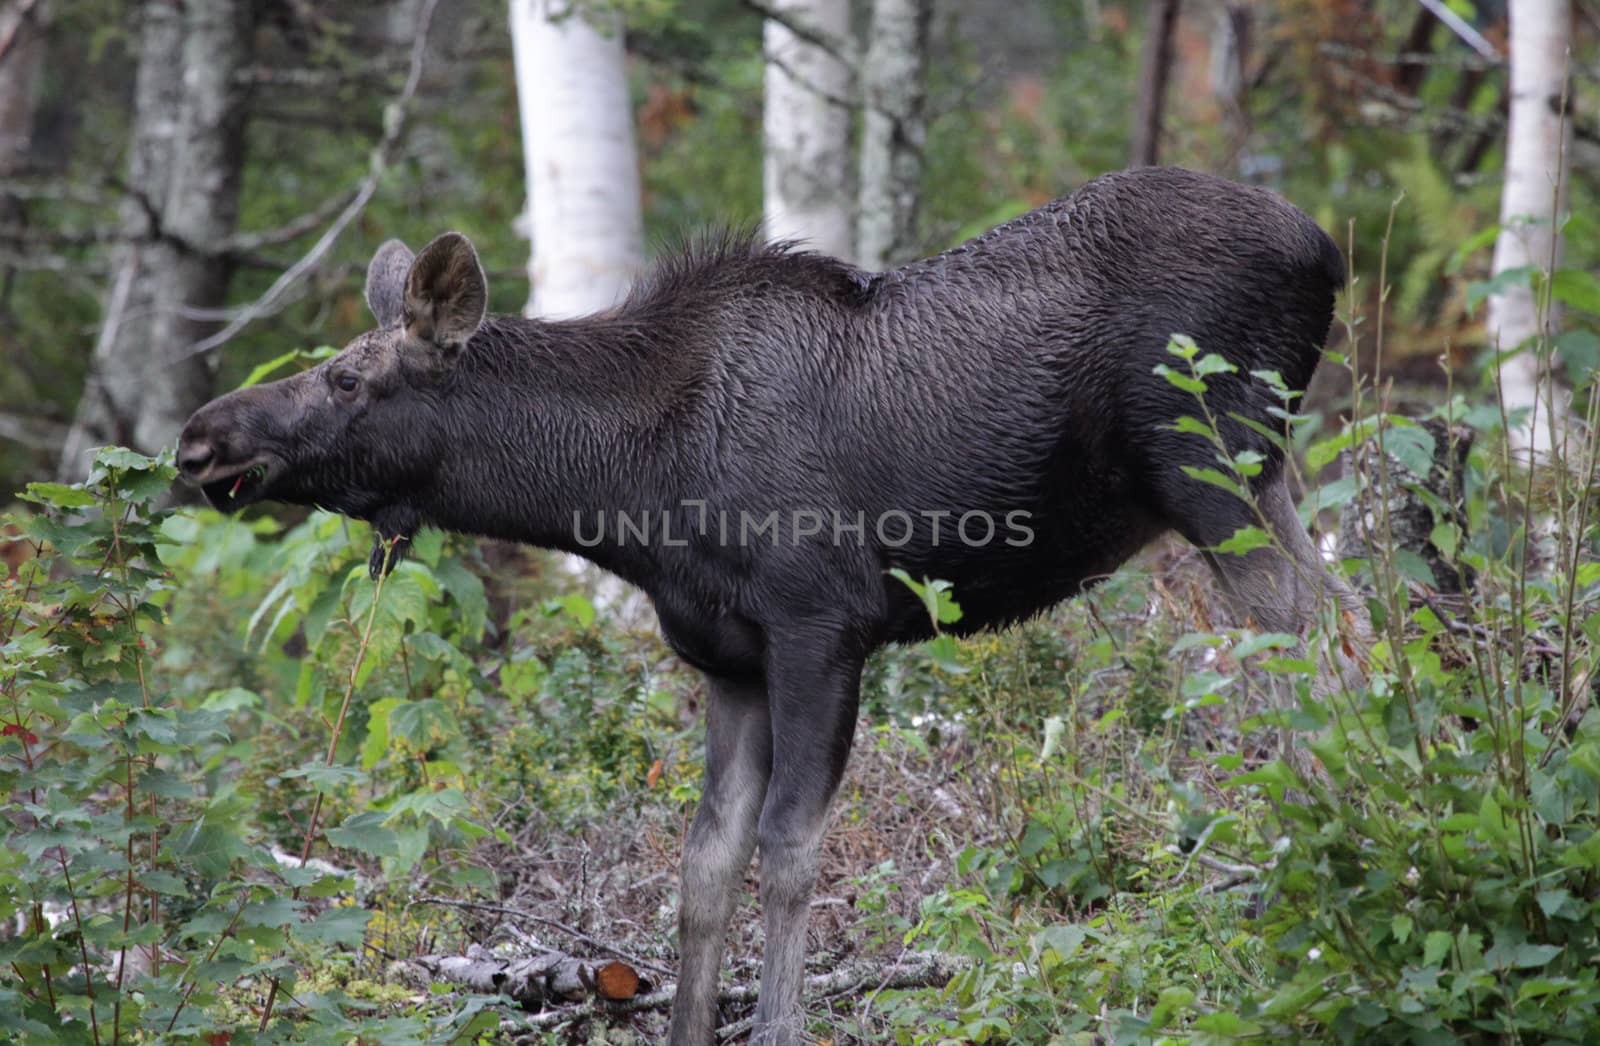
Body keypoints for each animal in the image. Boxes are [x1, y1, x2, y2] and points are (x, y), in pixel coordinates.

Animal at [184, 167, 1363, 1042]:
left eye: (346, 379)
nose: (200, 438)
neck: (631, 487)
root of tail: (1327, 246)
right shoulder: (727, 658)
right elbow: (705, 862)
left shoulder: (821, 629)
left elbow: (791, 849)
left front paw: (783, 1021)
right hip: (1250, 478)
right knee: (1352, 620)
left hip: (1212, 467)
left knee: (1314, 647)